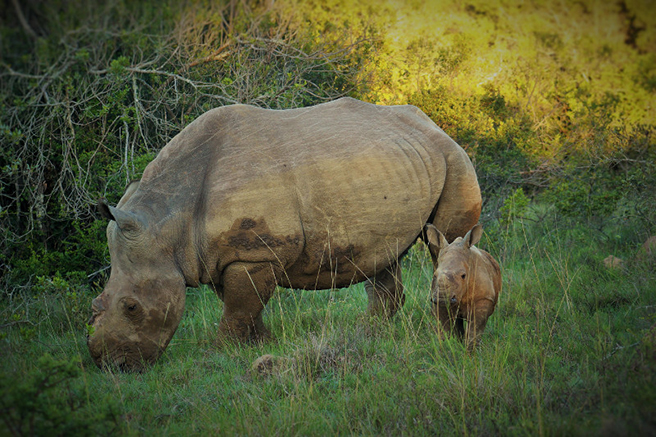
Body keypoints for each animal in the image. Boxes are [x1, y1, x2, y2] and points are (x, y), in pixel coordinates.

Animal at [87, 97, 482, 370]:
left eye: (131, 307)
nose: (112, 366)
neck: (167, 223)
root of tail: (434, 123)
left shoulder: (253, 254)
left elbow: (239, 307)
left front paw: (219, 352)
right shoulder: (225, 255)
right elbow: (242, 305)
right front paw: (260, 343)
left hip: (454, 158)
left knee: (448, 242)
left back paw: (447, 331)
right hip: (399, 164)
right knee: (384, 254)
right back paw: (369, 333)